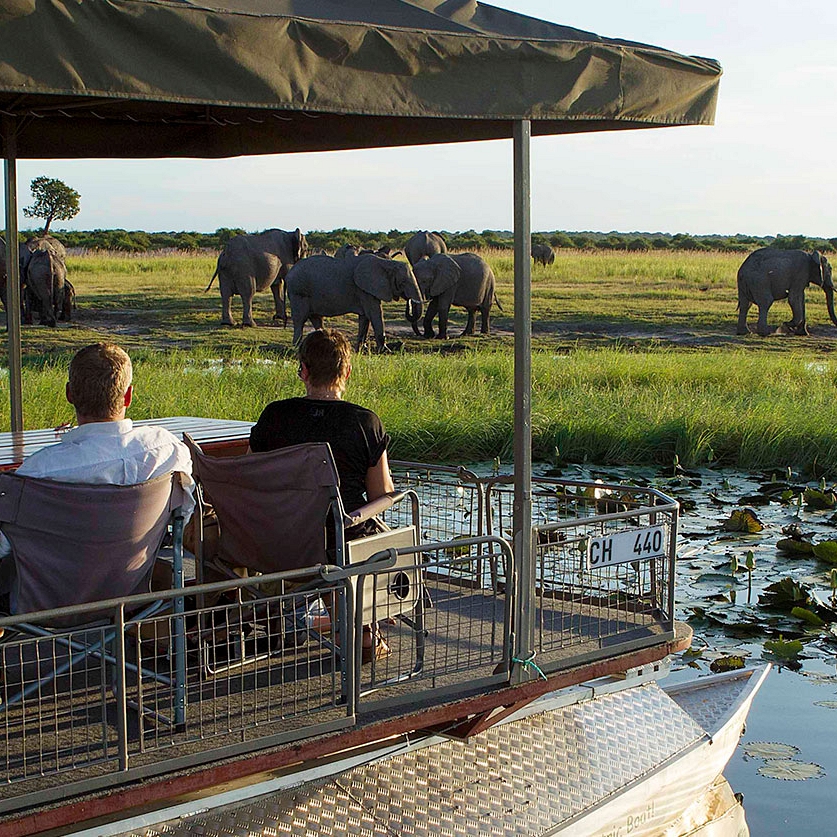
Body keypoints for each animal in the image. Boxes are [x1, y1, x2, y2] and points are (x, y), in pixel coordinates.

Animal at [286, 251, 422, 350]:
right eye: (403, 282)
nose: (408, 300)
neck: (386, 263)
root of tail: (289, 273)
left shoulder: (366, 290)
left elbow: (365, 318)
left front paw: (362, 349)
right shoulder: (365, 289)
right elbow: (375, 314)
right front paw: (384, 350)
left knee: (316, 319)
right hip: (298, 292)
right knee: (300, 320)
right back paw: (296, 347)